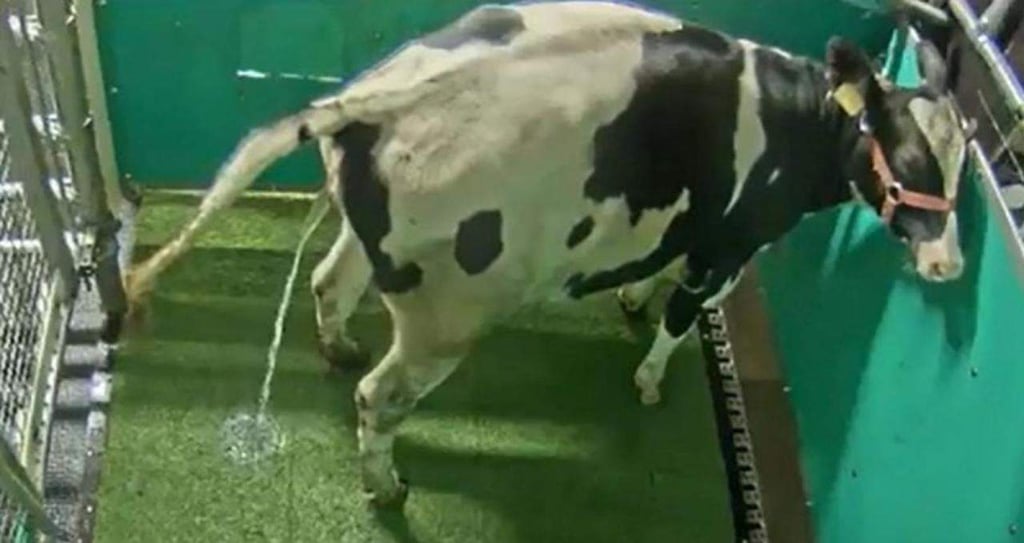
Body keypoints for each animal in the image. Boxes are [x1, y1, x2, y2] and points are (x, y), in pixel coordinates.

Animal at [124, 1, 971, 507]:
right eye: (907, 156)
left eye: (961, 164)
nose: (951, 266)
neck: (797, 121)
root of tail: (375, 97)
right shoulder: (734, 240)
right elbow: (682, 315)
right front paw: (650, 378)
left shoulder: (692, 227)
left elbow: (661, 277)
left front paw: (631, 298)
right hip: (447, 316)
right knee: (380, 395)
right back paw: (388, 485)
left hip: (372, 247)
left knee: (331, 286)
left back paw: (338, 349)